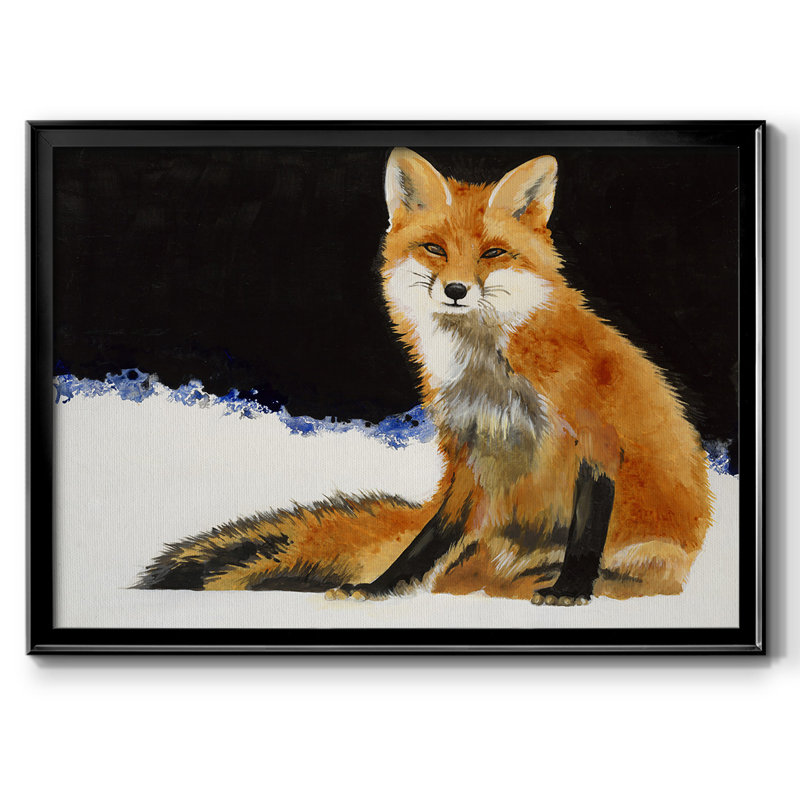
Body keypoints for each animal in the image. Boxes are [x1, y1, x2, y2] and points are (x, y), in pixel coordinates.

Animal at [136, 148, 713, 605]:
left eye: (493, 253)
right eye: (435, 248)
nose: (456, 290)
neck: (491, 374)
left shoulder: (596, 438)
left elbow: (587, 531)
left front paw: (570, 589)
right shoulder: (468, 454)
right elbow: (428, 540)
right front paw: (381, 588)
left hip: (651, 555)